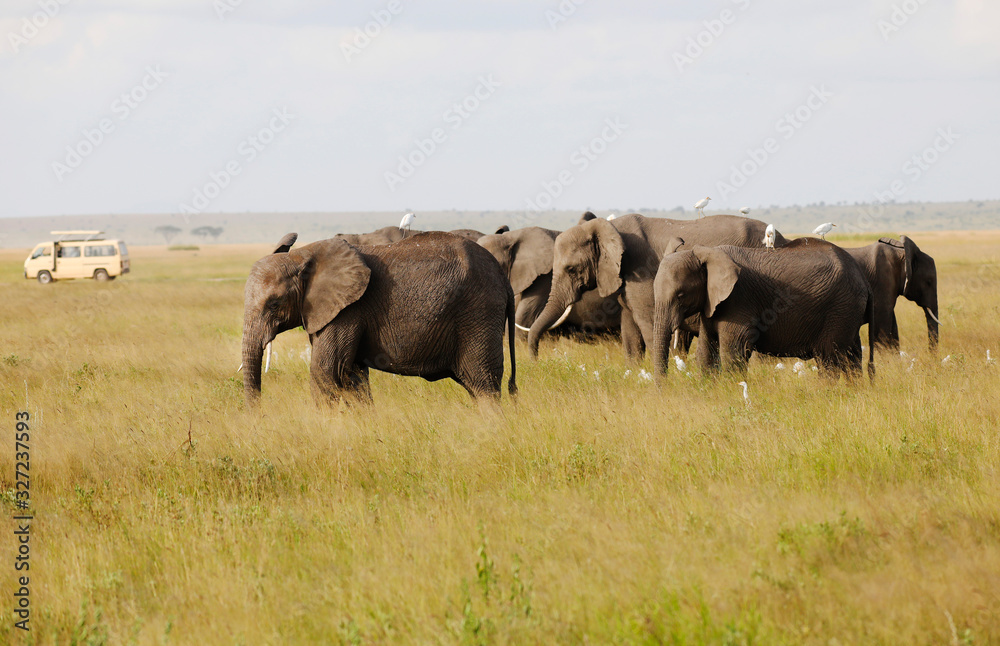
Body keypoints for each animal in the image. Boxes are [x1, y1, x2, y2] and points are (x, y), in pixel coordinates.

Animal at [241, 232, 516, 404]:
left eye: (274, 304)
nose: (258, 416)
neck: (301, 255)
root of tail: (505, 280)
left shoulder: (348, 310)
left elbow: (326, 372)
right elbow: (352, 376)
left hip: (478, 313)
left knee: (483, 383)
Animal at [526, 213, 789, 359]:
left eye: (571, 269)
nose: (536, 361)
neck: (608, 227)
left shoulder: (640, 270)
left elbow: (648, 323)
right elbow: (630, 331)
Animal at [652, 238, 874, 377]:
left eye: (680, 296)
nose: (662, 391)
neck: (706, 253)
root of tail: (862, 278)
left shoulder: (739, 300)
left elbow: (734, 352)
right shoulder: (711, 301)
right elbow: (706, 351)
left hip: (840, 307)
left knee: (828, 358)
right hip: (847, 309)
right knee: (852, 355)